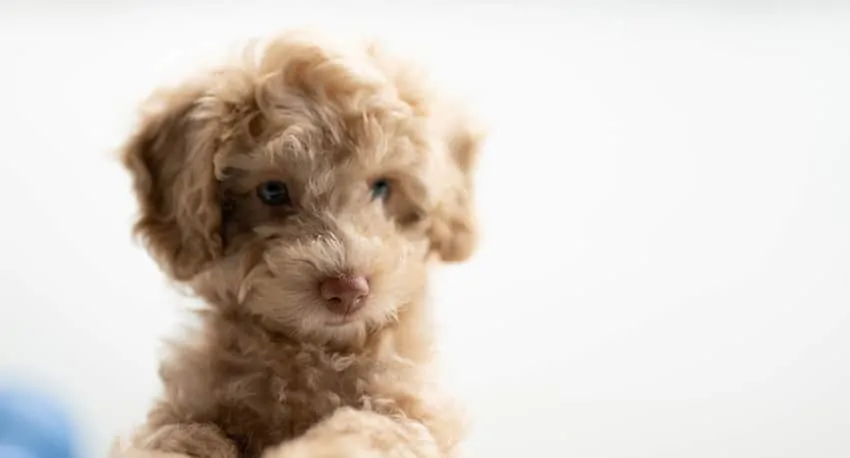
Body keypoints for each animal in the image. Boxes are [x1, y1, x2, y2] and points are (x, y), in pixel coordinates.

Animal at [114, 31, 484, 458]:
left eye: (382, 187)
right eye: (273, 191)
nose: (347, 290)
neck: (310, 351)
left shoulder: (408, 411)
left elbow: (365, 429)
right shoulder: (187, 406)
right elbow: (177, 436)